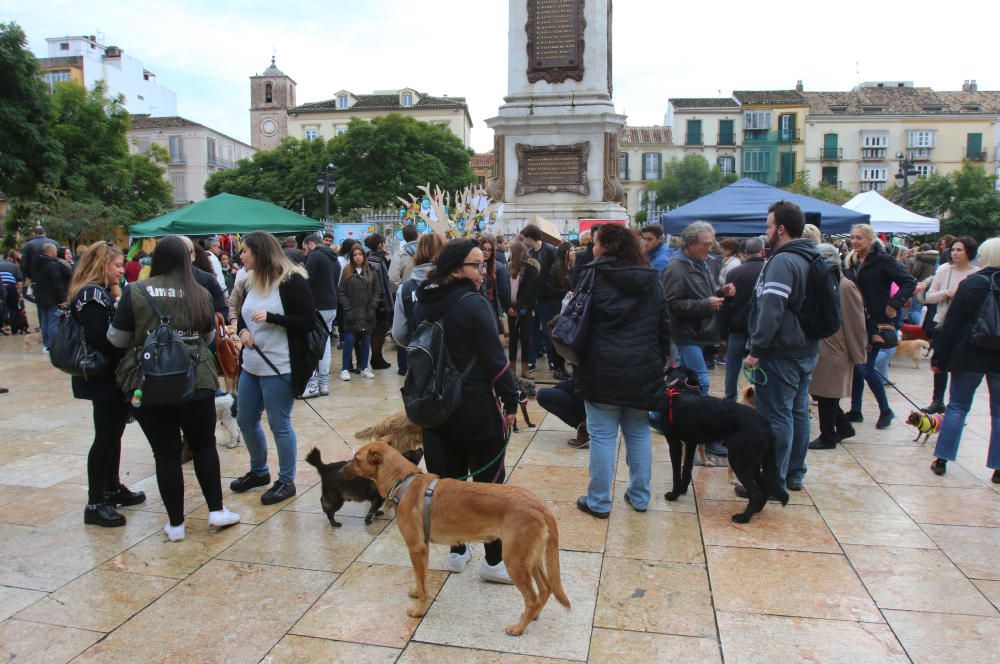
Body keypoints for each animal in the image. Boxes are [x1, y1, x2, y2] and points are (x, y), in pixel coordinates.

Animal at [342, 440, 572, 632]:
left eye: (356, 459)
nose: (340, 469)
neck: (403, 481)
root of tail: (540, 505)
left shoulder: (416, 547)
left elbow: (424, 586)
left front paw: (419, 611)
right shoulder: (422, 547)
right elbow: (420, 577)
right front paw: (417, 591)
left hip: (515, 560)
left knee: (533, 597)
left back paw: (519, 628)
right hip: (531, 559)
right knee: (545, 589)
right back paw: (531, 617)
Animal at [656, 364, 788, 524]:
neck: (678, 389)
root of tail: (765, 423)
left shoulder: (675, 443)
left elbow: (676, 473)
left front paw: (673, 495)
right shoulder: (691, 443)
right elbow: (686, 470)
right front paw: (682, 490)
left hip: (739, 461)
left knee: (755, 493)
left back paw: (743, 517)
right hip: (753, 462)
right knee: (765, 488)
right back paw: (756, 511)